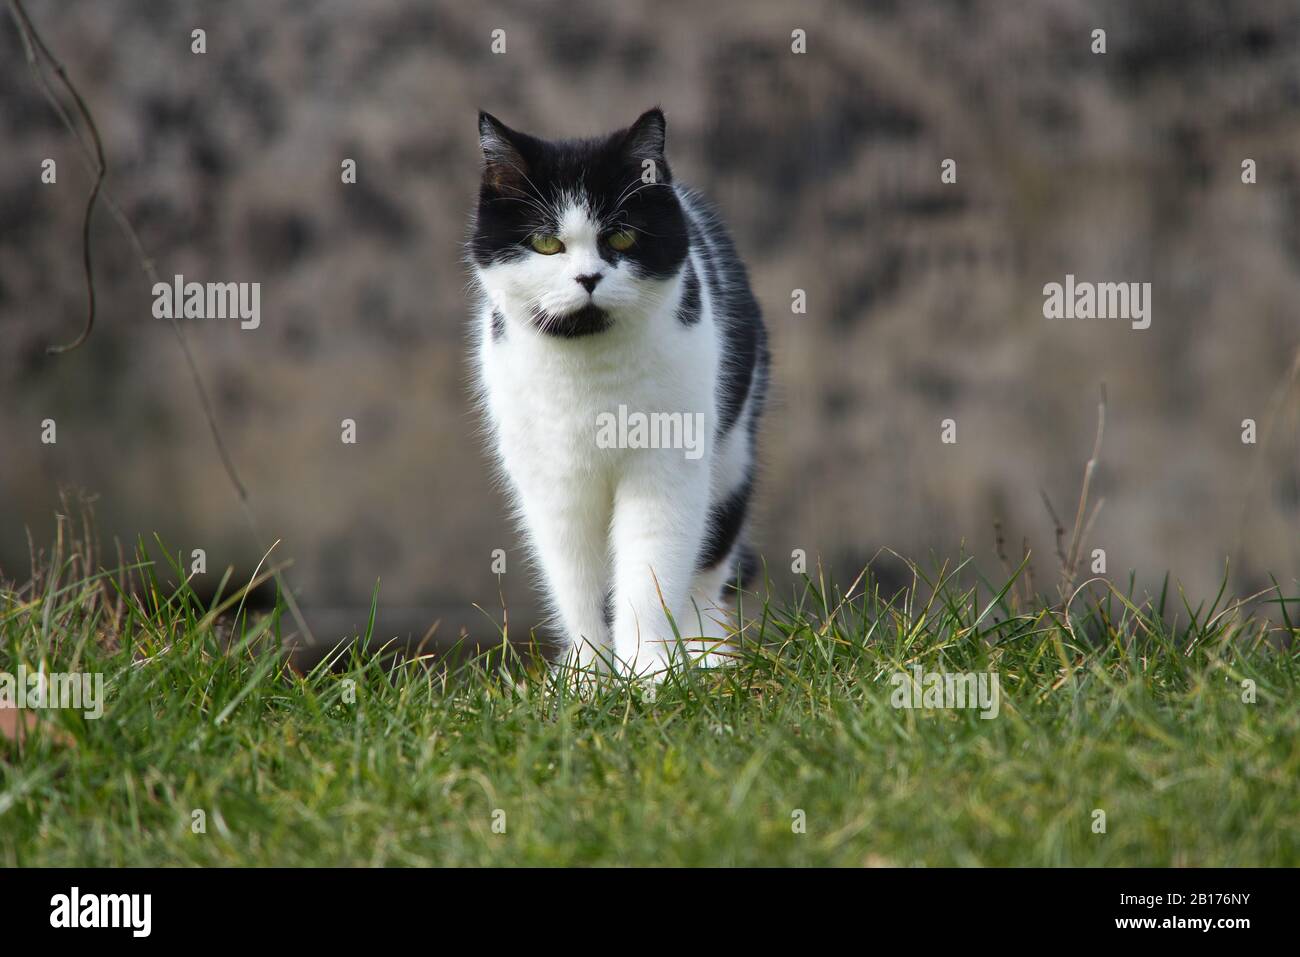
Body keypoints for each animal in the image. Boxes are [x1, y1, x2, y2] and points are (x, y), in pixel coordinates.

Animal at [470, 108, 764, 681]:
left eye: (623, 238)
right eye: (546, 243)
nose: (588, 277)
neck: (590, 370)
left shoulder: (664, 464)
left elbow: (650, 572)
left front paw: (649, 674)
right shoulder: (551, 482)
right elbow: (575, 583)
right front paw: (589, 678)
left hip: (732, 457)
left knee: (707, 570)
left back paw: (707, 656)